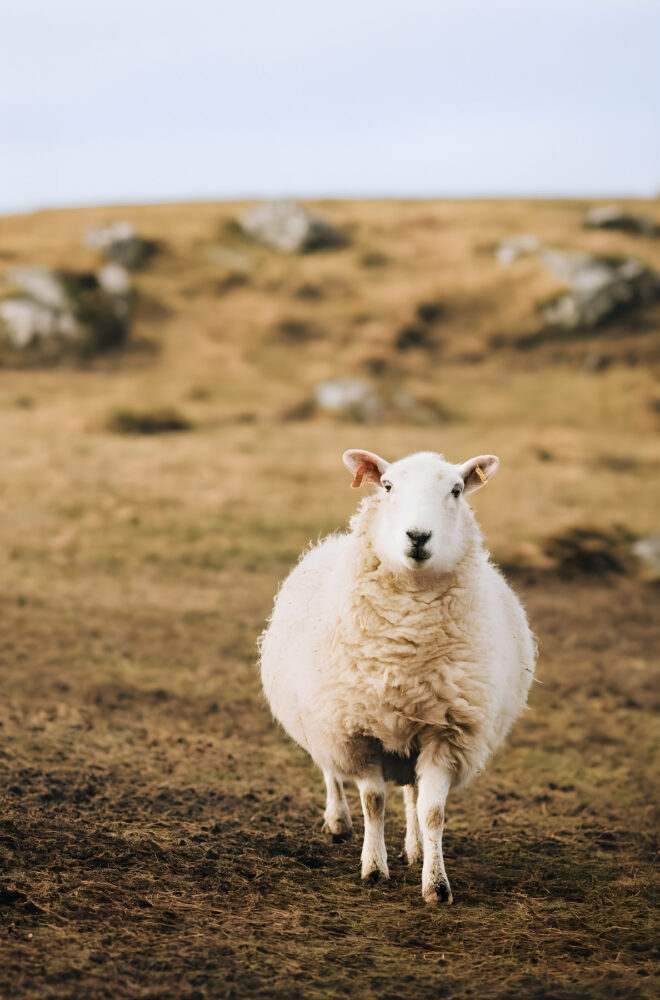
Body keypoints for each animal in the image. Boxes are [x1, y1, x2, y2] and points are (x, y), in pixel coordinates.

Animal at [260, 448, 536, 903]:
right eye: (387, 486)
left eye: (456, 490)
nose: (418, 536)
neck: (408, 643)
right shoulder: (356, 731)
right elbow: (373, 801)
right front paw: (374, 868)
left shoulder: (446, 734)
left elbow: (432, 811)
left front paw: (435, 883)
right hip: (321, 716)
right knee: (330, 769)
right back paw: (338, 821)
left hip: (409, 733)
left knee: (411, 792)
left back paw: (414, 848)